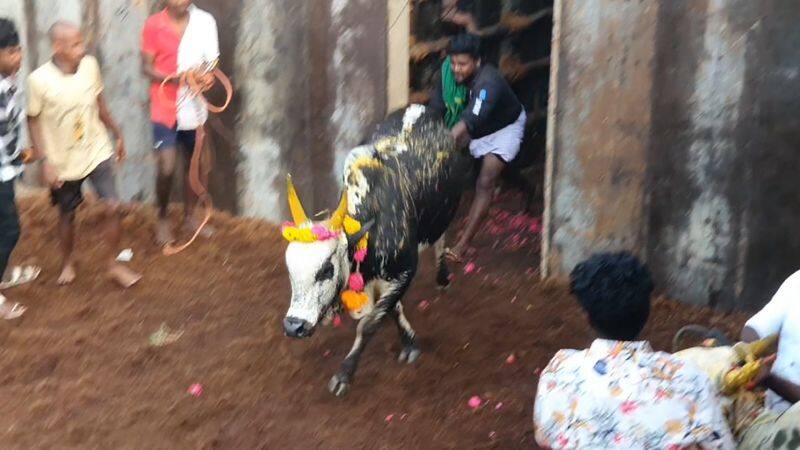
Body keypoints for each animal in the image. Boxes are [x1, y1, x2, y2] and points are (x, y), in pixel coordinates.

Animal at [282, 104, 468, 394]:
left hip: (443, 214)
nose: (294, 326)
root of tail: (418, 107)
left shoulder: (405, 272)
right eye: (289, 269)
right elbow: (393, 309)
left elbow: (369, 324)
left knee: (439, 241)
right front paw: (409, 341)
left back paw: (443, 277)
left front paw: (344, 374)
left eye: (326, 270)